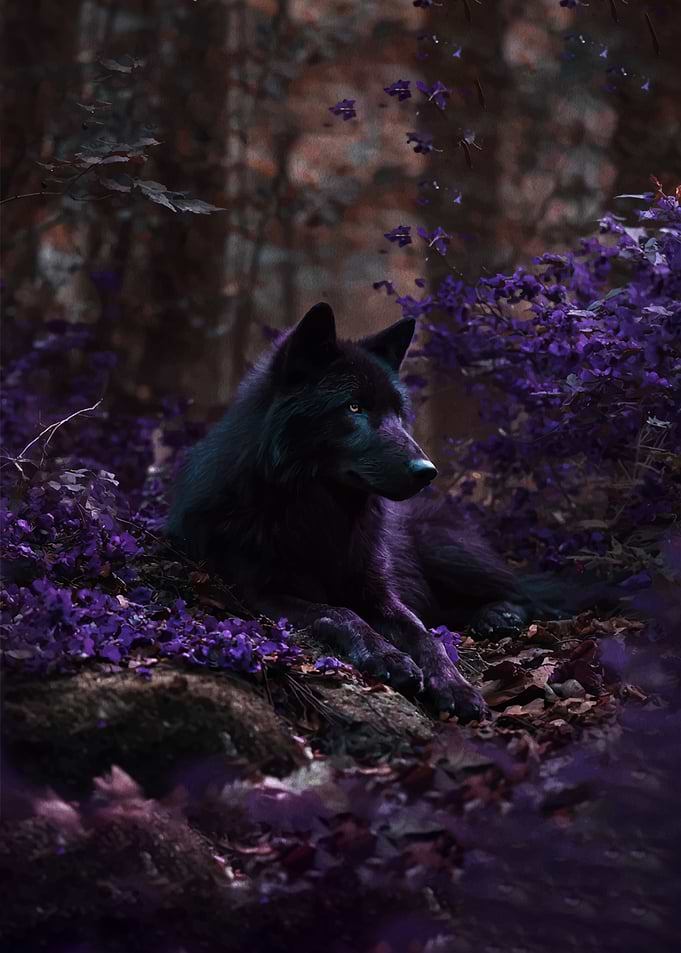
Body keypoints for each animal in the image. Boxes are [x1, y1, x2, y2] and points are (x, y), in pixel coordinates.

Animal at [168, 303, 582, 721]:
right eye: (354, 407)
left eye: (398, 413)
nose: (427, 471)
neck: (322, 514)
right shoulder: (262, 592)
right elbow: (341, 613)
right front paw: (389, 658)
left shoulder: (381, 592)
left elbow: (423, 635)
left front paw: (454, 685)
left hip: (451, 557)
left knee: (525, 593)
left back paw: (500, 617)